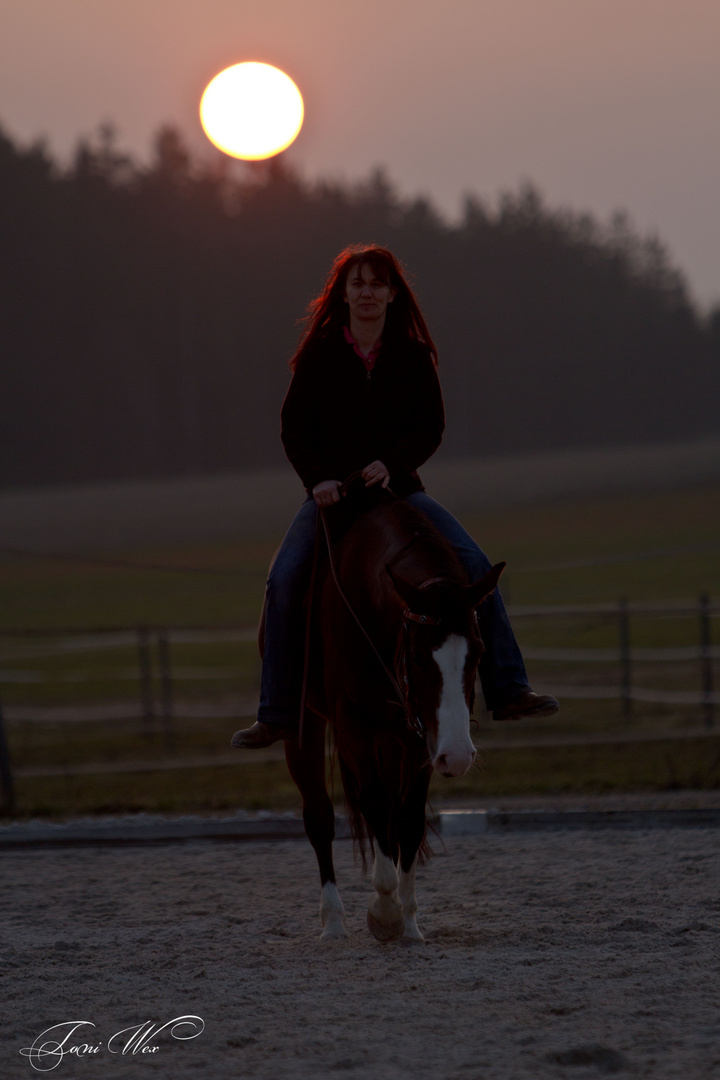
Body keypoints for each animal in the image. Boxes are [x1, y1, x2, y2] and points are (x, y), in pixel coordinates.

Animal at [273, 486, 505, 941]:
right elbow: (377, 804)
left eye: (479, 652)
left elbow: (408, 818)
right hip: (306, 727)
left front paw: (409, 922)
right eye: (417, 656)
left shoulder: (418, 738)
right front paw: (384, 912)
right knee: (320, 816)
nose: (458, 756)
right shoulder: (355, 725)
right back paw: (333, 923)